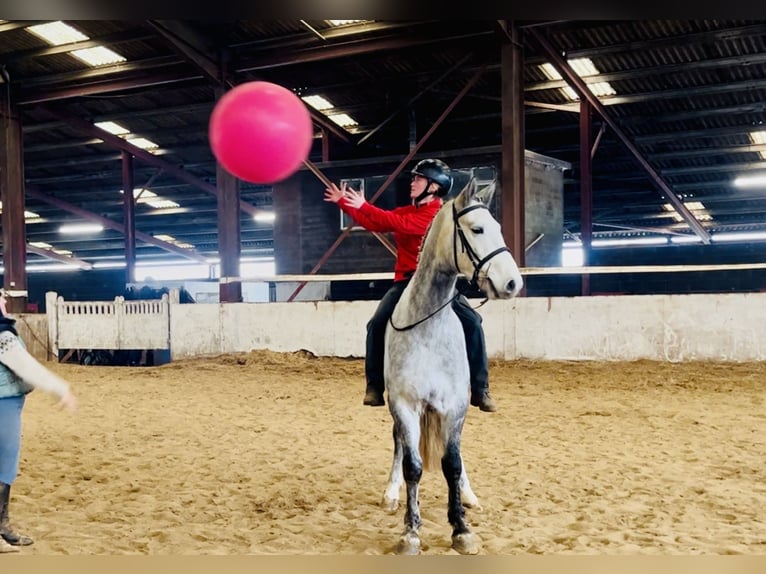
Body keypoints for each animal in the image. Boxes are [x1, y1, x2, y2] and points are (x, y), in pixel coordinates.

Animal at [381, 176, 523, 555]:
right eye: (477, 229)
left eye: (499, 228)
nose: (513, 283)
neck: (429, 327)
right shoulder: (404, 404)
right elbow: (413, 466)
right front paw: (410, 531)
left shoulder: (455, 406)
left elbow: (452, 464)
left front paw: (461, 527)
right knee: (399, 444)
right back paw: (391, 493)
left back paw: (469, 495)